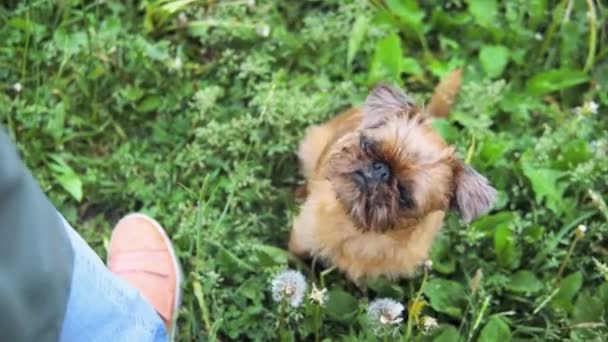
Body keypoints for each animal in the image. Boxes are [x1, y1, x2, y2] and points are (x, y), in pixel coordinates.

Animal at [288, 73, 494, 282]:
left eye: (404, 195)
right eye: (366, 144)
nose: (380, 170)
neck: (358, 228)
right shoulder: (301, 238)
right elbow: (294, 260)